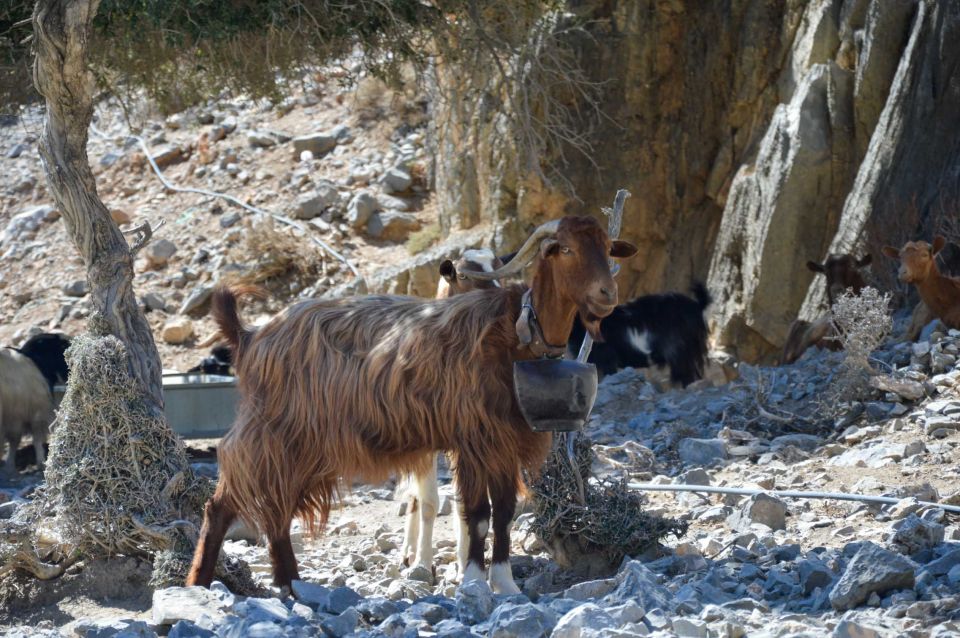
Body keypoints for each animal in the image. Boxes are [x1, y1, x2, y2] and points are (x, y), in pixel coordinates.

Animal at [188, 216, 636, 596]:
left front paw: (505, 584)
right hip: (273, 431)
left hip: (298, 445)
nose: (607, 294)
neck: (516, 333)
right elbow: (477, 513)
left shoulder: (505, 442)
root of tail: (251, 336)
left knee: (274, 510)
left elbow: (505, 513)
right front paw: (473, 582)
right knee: (223, 503)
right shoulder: (474, 439)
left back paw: (289, 583)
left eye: (606, 247)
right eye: (565, 249)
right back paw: (202, 583)